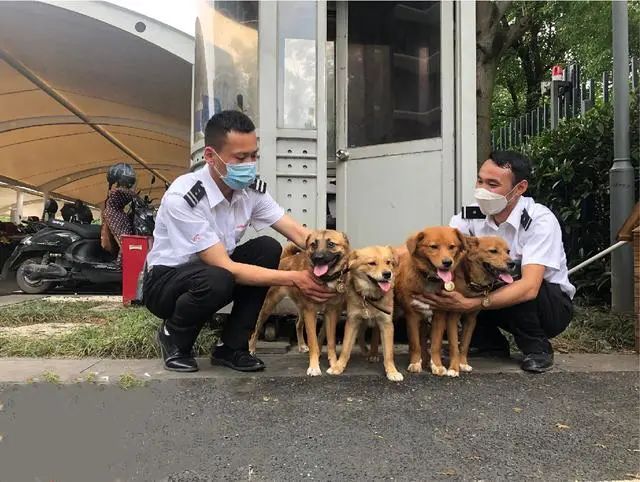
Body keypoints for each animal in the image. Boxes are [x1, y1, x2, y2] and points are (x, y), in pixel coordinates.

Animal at [250, 230, 350, 376]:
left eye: (331, 244)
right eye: (313, 244)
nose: (318, 257)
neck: (325, 280)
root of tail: (286, 258)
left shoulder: (331, 313)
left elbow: (331, 342)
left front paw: (334, 364)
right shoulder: (311, 312)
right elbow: (313, 342)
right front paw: (314, 367)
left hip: (302, 310)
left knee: (297, 324)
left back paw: (302, 345)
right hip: (269, 306)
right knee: (256, 329)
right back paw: (251, 349)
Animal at [328, 247, 402, 382]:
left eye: (388, 262)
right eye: (372, 263)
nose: (388, 274)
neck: (369, 297)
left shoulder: (386, 324)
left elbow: (389, 353)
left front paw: (392, 371)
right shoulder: (352, 321)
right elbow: (345, 348)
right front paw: (338, 366)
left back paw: (372, 353)